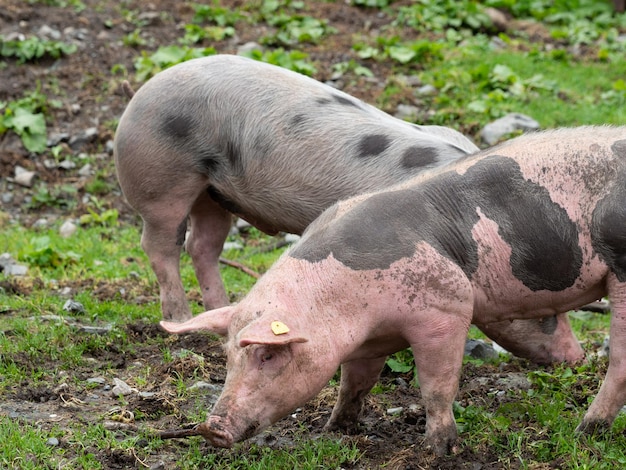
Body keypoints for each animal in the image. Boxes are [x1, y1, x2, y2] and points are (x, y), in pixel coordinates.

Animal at [114, 54, 584, 364]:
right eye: (543, 311)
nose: (577, 356)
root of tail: (145, 89)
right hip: (163, 179)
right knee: (161, 246)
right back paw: (178, 318)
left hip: (213, 192)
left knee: (203, 245)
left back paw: (219, 307)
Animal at [162, 126, 624, 458]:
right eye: (228, 356)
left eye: (269, 355)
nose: (211, 428)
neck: (345, 305)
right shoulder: (370, 340)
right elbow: (354, 383)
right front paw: (335, 430)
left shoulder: (446, 309)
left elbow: (435, 385)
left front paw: (439, 450)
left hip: (622, 273)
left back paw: (586, 431)